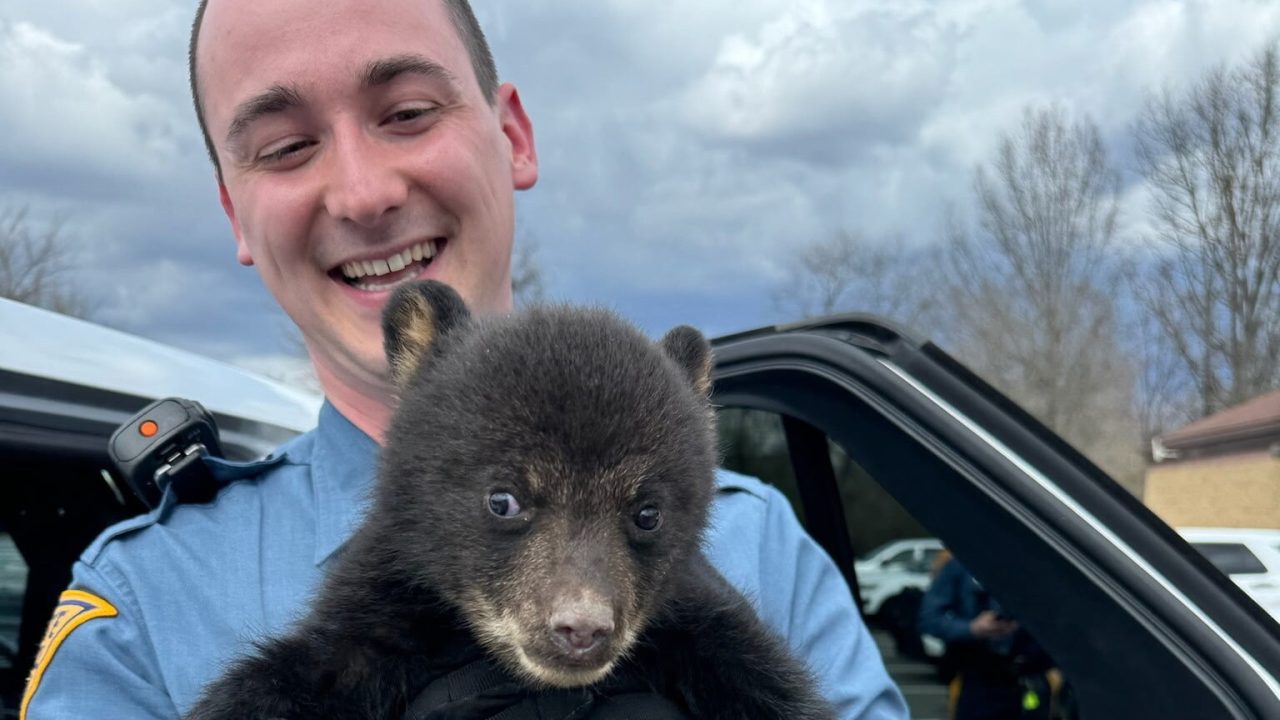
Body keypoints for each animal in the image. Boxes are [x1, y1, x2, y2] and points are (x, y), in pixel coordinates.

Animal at [185, 280, 835, 720]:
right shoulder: (385, 598)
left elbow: (764, 678)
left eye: (647, 514)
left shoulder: (697, 616)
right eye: (503, 500)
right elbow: (304, 673)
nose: (582, 629)